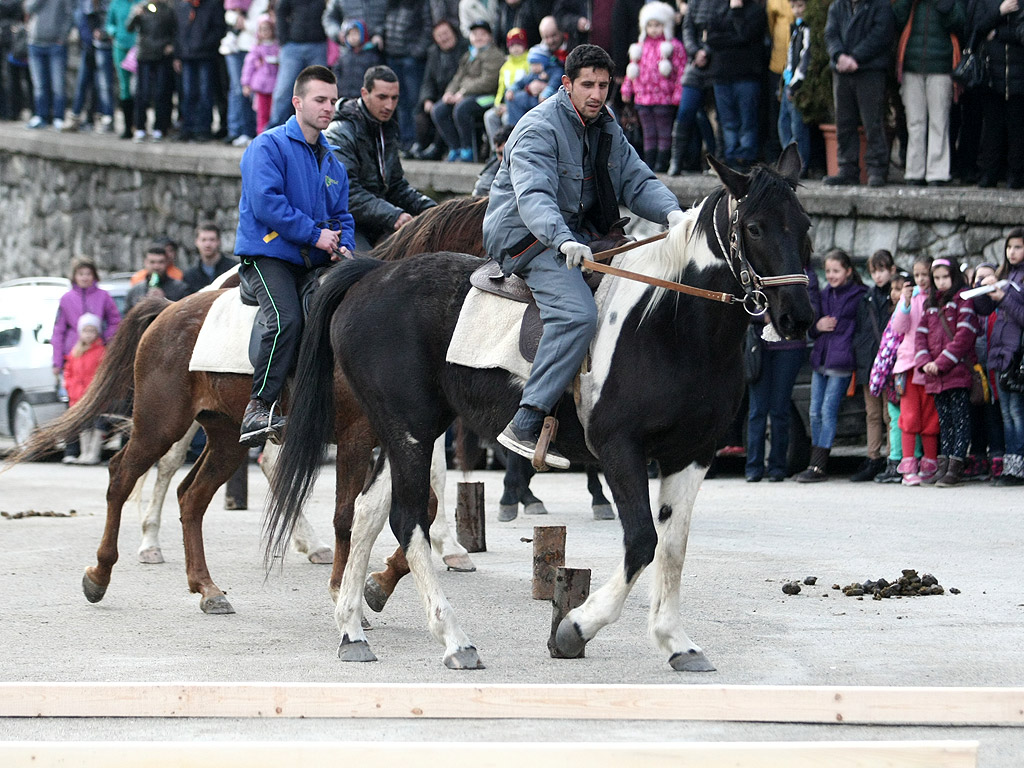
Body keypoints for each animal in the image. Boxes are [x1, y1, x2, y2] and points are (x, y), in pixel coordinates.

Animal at [11, 196, 491, 614]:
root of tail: (168, 309)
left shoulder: (396, 439)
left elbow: (421, 509)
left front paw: (378, 583)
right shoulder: (356, 437)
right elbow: (347, 516)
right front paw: (342, 591)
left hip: (226, 436)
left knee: (191, 496)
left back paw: (206, 588)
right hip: (161, 422)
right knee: (124, 476)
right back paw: (102, 572)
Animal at [268, 147, 811, 671]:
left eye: (805, 224)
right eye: (755, 227)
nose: (798, 318)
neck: (670, 325)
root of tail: (372, 273)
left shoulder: (693, 453)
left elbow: (673, 546)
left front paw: (675, 640)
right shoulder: (620, 448)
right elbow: (642, 541)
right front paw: (574, 628)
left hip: (410, 429)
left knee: (367, 513)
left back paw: (352, 627)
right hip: (408, 430)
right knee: (407, 521)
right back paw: (453, 639)